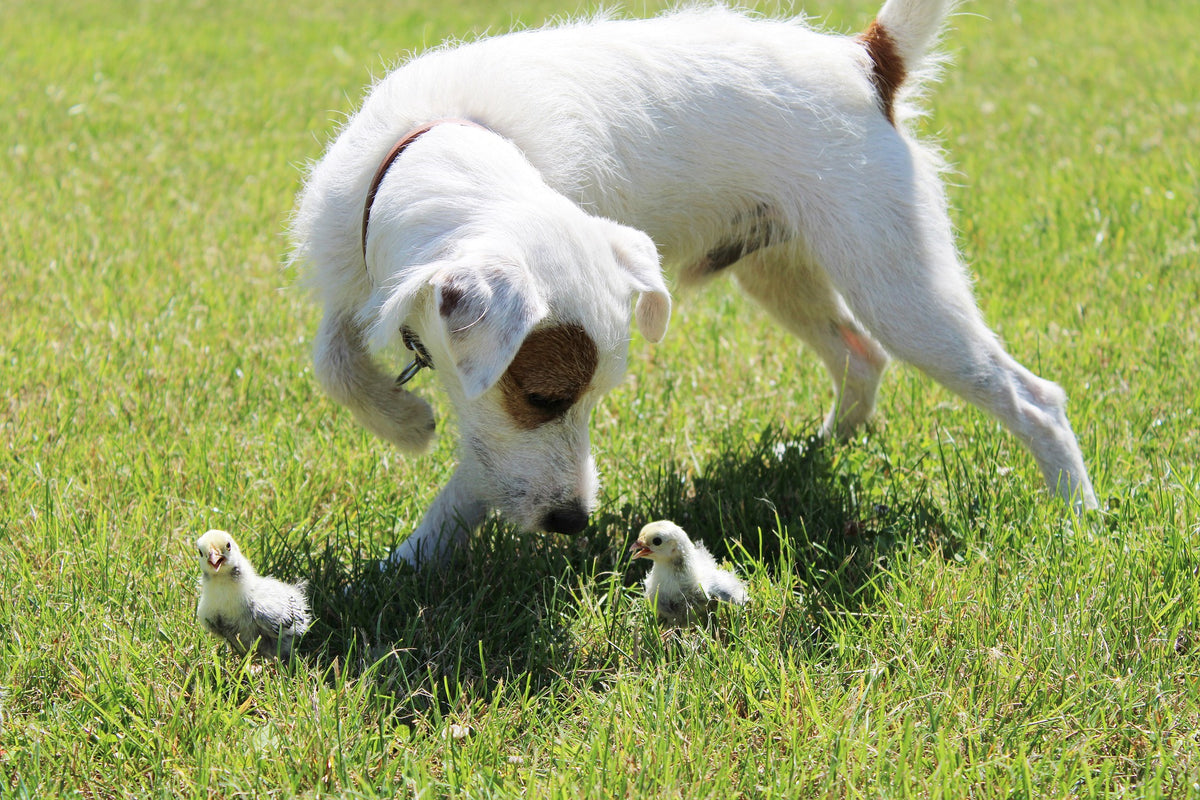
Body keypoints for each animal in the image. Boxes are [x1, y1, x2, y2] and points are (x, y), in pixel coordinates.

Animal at [288, 0, 1099, 566]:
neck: (441, 139)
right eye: (546, 397)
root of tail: (864, 61)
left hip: (899, 288)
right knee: (860, 356)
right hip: (781, 274)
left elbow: (475, 473)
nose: (572, 523)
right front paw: (404, 423)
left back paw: (1080, 519)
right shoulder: (352, 278)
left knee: (1034, 398)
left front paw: (413, 557)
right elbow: (332, 362)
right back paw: (815, 453)